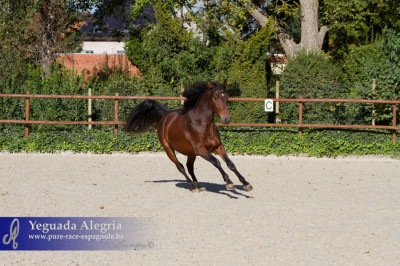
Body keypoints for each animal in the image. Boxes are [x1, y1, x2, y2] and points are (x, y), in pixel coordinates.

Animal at [124, 81, 253, 193]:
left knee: (189, 167)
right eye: (215, 98)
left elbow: (230, 164)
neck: (202, 124)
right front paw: (229, 182)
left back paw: (199, 185)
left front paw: (246, 184)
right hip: (169, 150)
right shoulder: (201, 150)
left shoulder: (217, 146)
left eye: (227, 97)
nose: (227, 119)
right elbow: (216, 162)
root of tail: (165, 116)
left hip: (191, 153)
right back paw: (193, 186)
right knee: (180, 167)